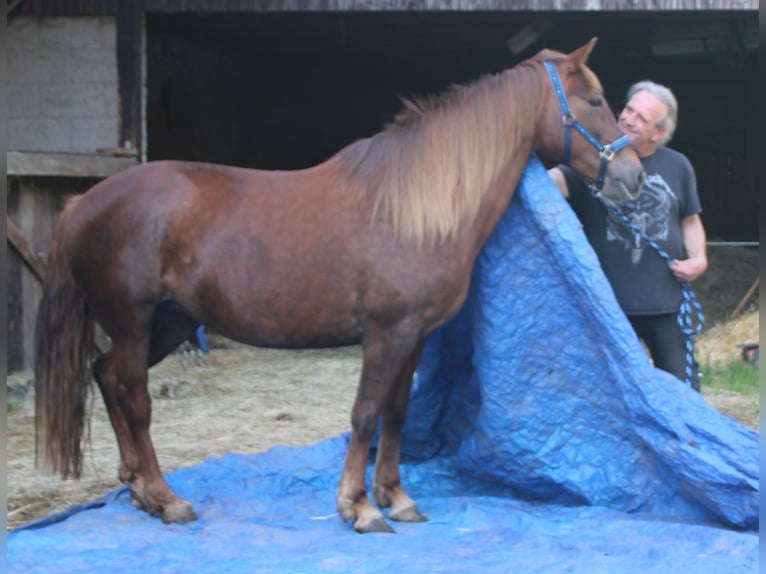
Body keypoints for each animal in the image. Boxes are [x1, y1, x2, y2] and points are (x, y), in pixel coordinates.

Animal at [36, 39, 648, 536]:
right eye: (594, 101)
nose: (634, 178)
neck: (415, 209)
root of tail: (83, 203)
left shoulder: (415, 336)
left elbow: (396, 412)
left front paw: (396, 498)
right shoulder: (386, 334)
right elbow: (365, 412)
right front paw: (359, 507)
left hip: (169, 322)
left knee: (105, 376)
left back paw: (138, 489)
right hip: (133, 323)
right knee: (134, 399)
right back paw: (167, 500)